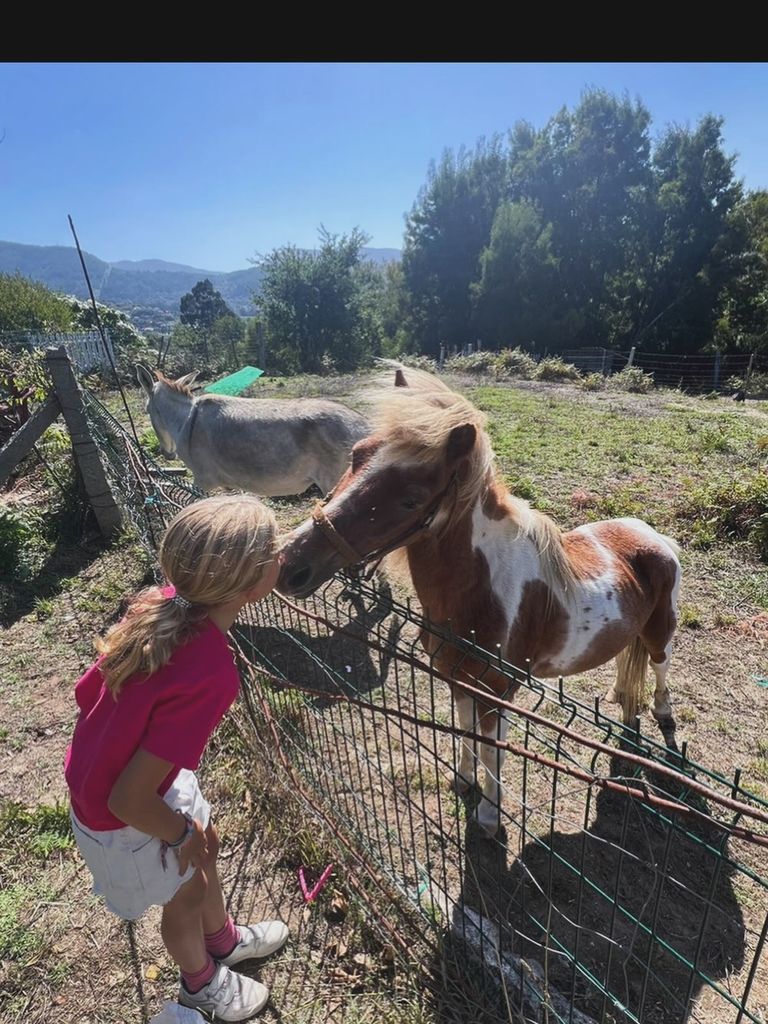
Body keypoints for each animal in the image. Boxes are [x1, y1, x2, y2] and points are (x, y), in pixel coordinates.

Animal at [276, 365, 682, 832]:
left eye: (411, 499)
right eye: (356, 456)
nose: (289, 563)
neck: (480, 595)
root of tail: (650, 534)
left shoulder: (497, 694)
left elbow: (493, 750)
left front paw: (489, 814)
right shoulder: (457, 680)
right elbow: (465, 732)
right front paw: (463, 781)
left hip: (661, 633)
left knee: (660, 668)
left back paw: (663, 715)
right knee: (625, 659)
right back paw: (622, 701)